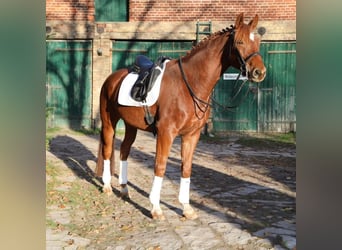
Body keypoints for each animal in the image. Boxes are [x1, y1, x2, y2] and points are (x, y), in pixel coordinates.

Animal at [95, 13, 266, 221]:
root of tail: (112, 78)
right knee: (107, 150)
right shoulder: (166, 133)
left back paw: (125, 189)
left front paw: (186, 207)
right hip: (109, 122)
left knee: (124, 151)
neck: (190, 84)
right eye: (240, 41)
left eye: (257, 41)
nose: (259, 72)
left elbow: (186, 168)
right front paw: (156, 208)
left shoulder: (192, 135)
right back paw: (107, 187)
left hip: (131, 126)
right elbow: (160, 166)